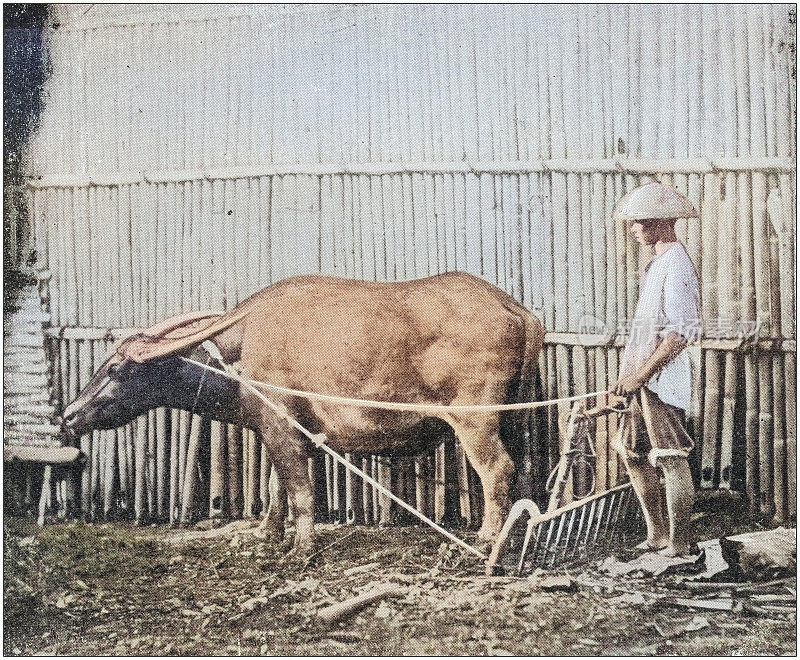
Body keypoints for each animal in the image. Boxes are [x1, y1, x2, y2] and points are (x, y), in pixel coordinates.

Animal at [64, 272, 544, 552]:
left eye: (117, 367)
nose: (69, 414)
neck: (243, 351)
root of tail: (516, 310)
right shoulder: (288, 433)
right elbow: (277, 487)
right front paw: (267, 533)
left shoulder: (282, 426)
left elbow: (298, 489)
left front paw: (302, 546)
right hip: (513, 417)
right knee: (522, 469)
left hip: (475, 419)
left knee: (497, 469)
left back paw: (486, 538)